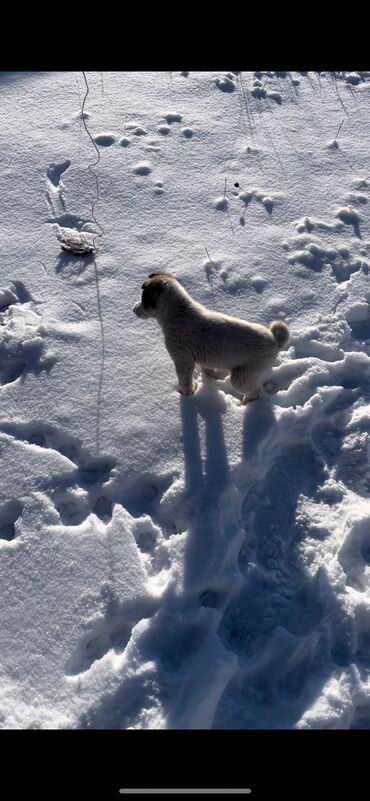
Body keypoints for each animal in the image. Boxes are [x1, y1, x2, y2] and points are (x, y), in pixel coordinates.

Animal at [133, 274, 290, 400]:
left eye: (144, 299)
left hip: (242, 377)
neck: (178, 313)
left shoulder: (183, 360)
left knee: (254, 391)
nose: (133, 309)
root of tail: (275, 342)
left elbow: (185, 380)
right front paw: (210, 377)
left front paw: (187, 394)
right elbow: (207, 369)